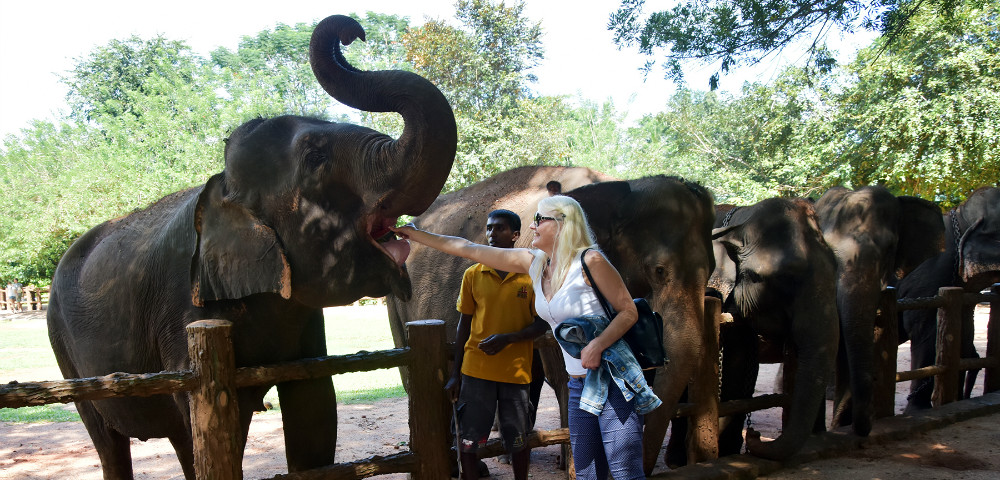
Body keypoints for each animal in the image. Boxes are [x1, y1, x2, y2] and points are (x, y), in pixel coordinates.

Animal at [44, 13, 458, 478]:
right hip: (62, 345)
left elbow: (314, 406)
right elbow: (209, 421)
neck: (223, 188)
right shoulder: (185, 312)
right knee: (109, 434)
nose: (353, 31)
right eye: (316, 158)